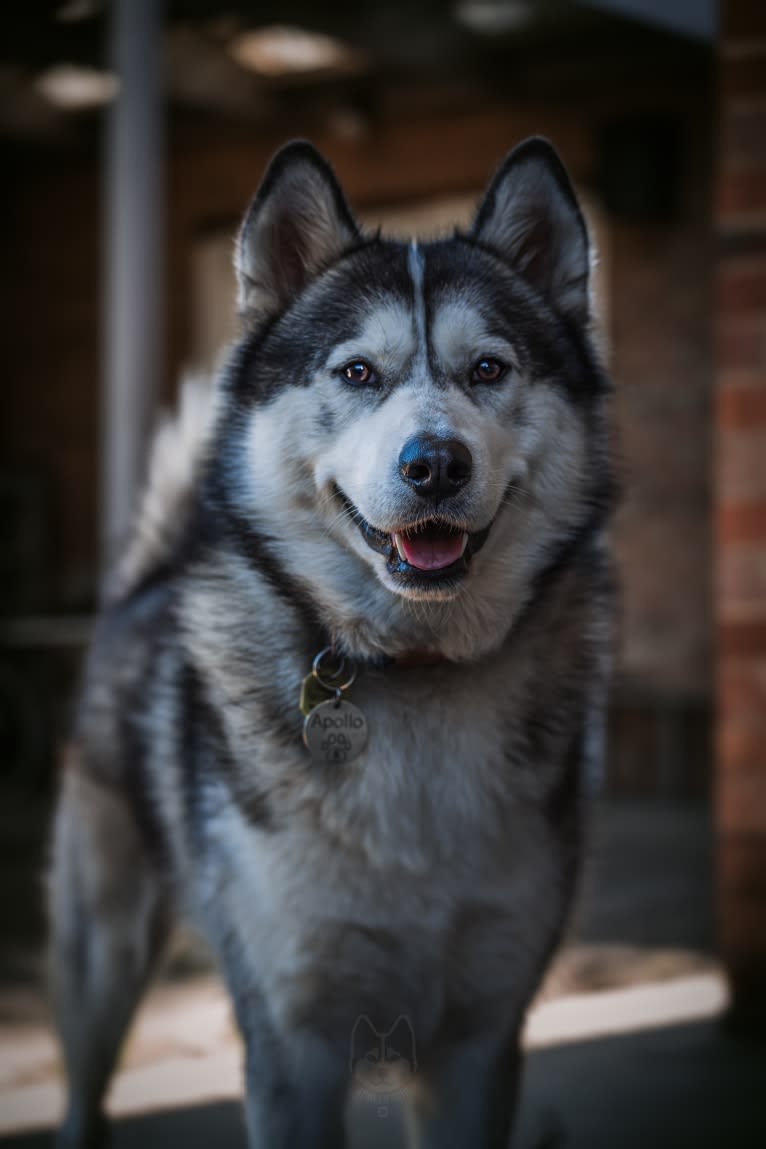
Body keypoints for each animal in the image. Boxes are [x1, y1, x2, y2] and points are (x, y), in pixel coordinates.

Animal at [49, 136, 610, 1149]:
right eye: (357, 374)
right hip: (102, 949)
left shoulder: (480, 1035)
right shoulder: (292, 1036)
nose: (435, 464)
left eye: (488, 369)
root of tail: (145, 581)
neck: (417, 673)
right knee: (85, 1079)